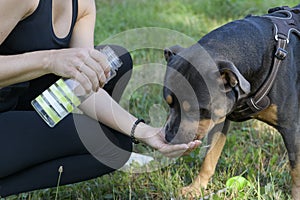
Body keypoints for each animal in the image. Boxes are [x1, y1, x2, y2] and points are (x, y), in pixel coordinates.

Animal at [163, 4, 300, 198]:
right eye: (168, 103)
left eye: (198, 110)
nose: (168, 137)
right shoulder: (220, 119)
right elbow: (209, 157)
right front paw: (196, 188)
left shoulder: (292, 129)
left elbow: (296, 172)